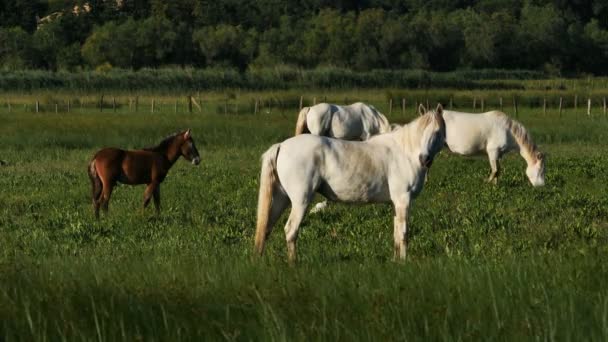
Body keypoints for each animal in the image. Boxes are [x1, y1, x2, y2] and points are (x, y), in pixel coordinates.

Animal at [253, 104, 446, 262]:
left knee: (266, 228)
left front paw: (396, 261)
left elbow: (396, 234)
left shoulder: (396, 203)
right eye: (423, 131)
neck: (404, 151)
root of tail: (281, 146)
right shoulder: (403, 199)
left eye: (437, 132)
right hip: (301, 201)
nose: (425, 159)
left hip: (281, 199)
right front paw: (403, 263)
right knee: (291, 230)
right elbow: (404, 234)